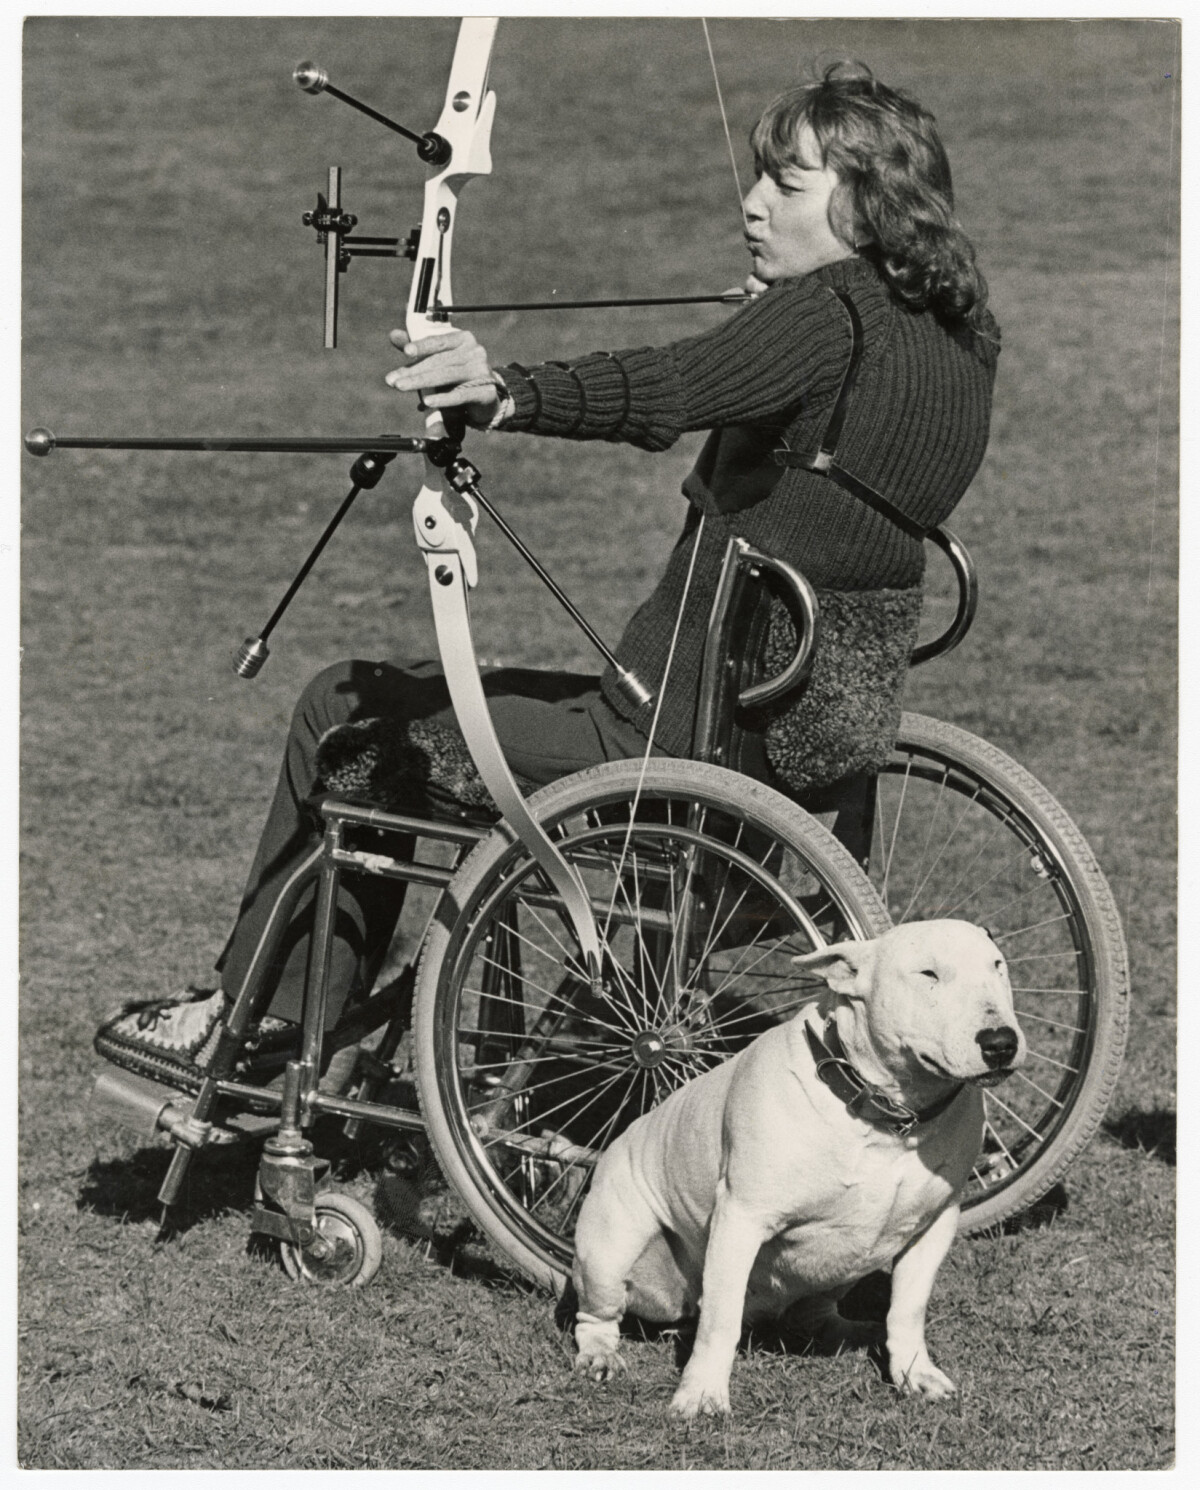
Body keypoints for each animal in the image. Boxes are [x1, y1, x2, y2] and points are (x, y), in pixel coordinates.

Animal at [571, 919, 1025, 1417]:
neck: (889, 1118)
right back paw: (601, 1355)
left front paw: (915, 1374)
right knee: (595, 1315)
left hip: (845, 1264)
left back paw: (853, 1331)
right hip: (611, 1250)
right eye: (928, 974)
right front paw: (702, 1393)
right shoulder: (742, 1217)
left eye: (997, 966)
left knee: (813, 1311)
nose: (1001, 1043)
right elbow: (720, 1319)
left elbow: (908, 1309)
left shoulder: (935, 1223)